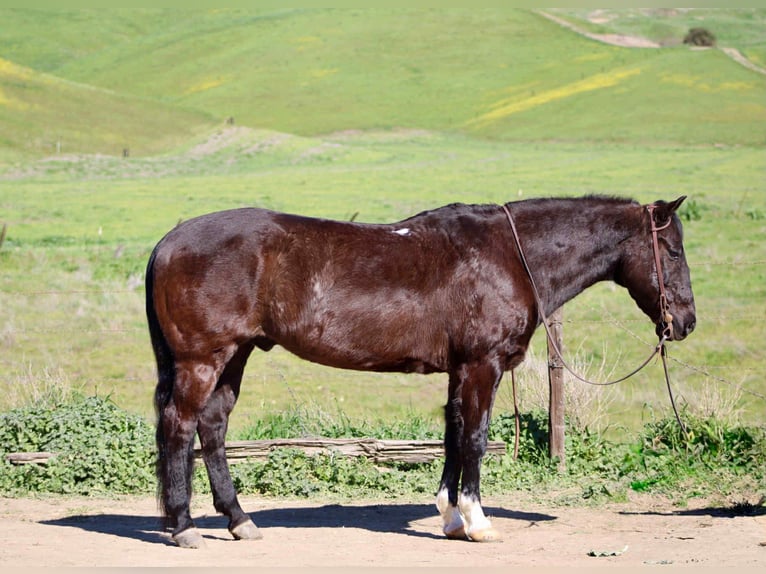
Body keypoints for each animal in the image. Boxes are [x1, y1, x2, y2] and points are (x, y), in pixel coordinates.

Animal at [145, 195, 696, 548]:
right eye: (672, 250)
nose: (686, 321)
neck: (509, 255)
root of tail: (169, 241)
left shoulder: (460, 370)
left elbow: (453, 433)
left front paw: (451, 518)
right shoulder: (482, 366)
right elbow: (475, 437)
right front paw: (477, 521)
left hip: (234, 355)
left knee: (213, 427)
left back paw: (239, 521)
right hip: (203, 359)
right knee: (180, 427)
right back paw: (183, 527)